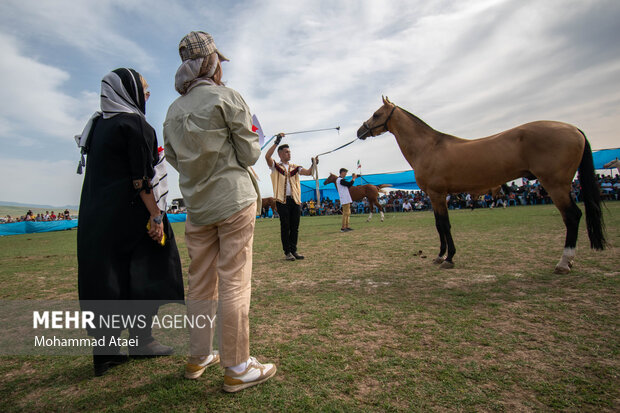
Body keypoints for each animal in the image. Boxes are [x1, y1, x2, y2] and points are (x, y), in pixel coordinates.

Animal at [358, 96, 604, 274]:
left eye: (376, 114)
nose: (360, 131)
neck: (429, 147)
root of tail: (574, 129)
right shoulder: (434, 196)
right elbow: (438, 225)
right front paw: (440, 255)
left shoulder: (438, 194)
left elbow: (445, 225)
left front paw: (449, 258)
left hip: (556, 185)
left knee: (572, 216)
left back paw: (564, 262)